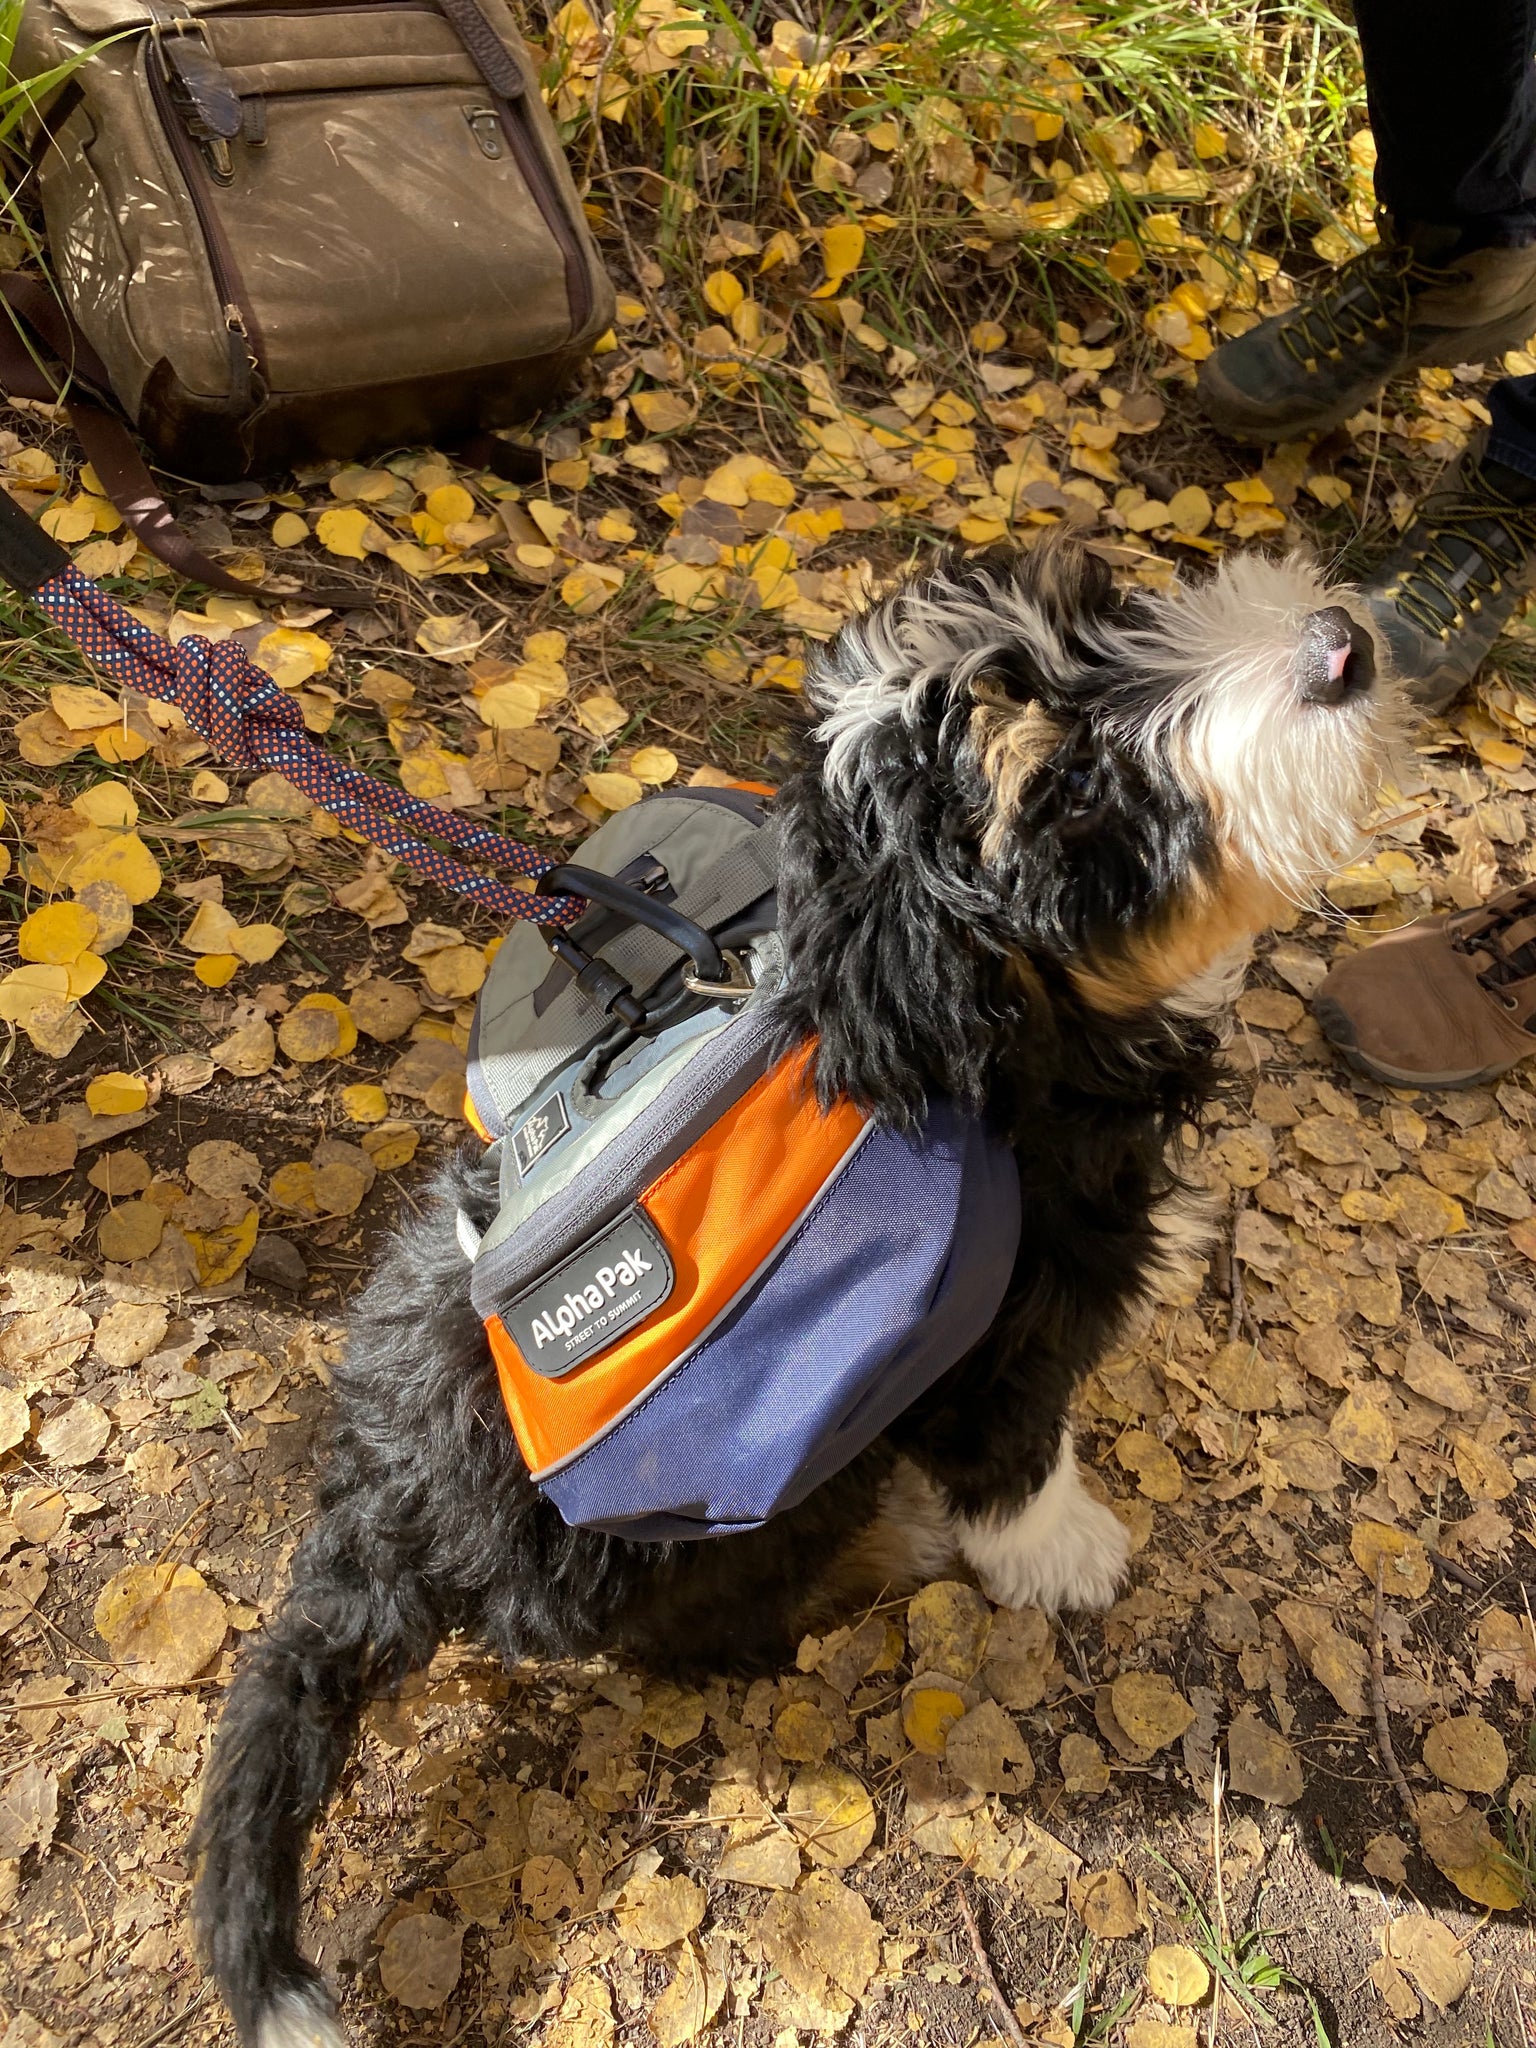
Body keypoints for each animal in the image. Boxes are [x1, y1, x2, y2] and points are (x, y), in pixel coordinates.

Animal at [189, 536, 1392, 2039]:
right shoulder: (1007, 1322)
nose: (1342, 645)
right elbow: (1019, 1447)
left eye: (1106, 611)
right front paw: (1060, 1551)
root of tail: (381, 1527)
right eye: (1069, 793)